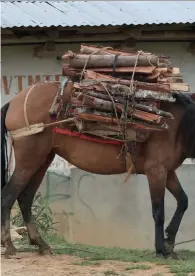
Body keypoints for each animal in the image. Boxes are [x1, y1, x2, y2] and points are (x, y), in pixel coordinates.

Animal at [1, 80, 195, 258]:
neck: (176, 126)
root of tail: (15, 101)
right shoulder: (156, 170)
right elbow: (158, 211)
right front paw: (161, 250)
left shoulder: (168, 172)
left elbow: (183, 201)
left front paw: (170, 243)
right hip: (29, 160)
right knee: (8, 196)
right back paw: (9, 246)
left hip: (43, 159)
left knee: (25, 197)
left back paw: (41, 244)